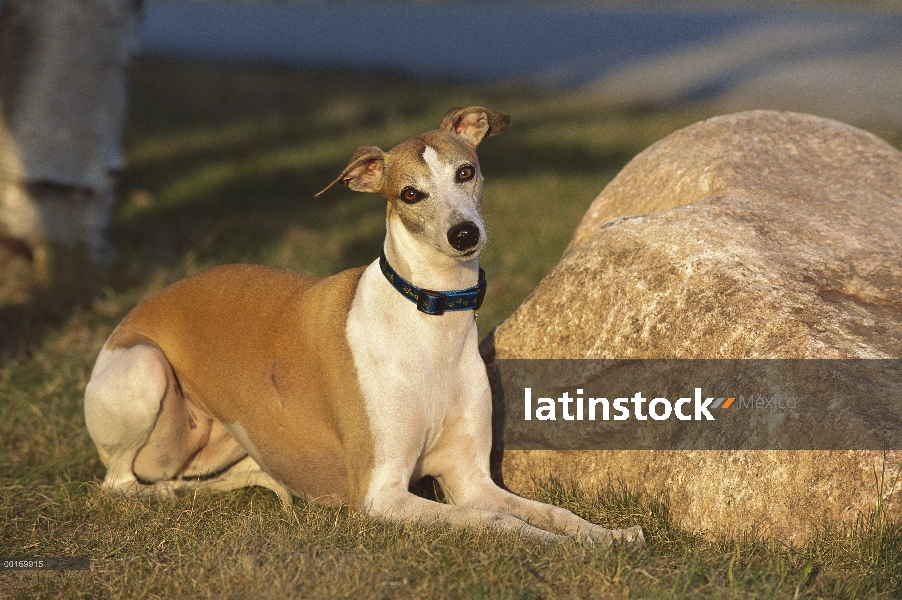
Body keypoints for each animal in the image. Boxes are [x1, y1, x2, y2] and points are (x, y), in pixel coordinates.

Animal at [85, 105, 648, 548]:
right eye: (410, 194)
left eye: (466, 171)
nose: (464, 234)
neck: (429, 320)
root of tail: (136, 311)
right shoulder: (382, 495)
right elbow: (494, 521)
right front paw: (557, 546)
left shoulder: (471, 478)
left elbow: (547, 510)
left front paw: (608, 535)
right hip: (145, 368)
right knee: (119, 482)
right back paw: (165, 492)